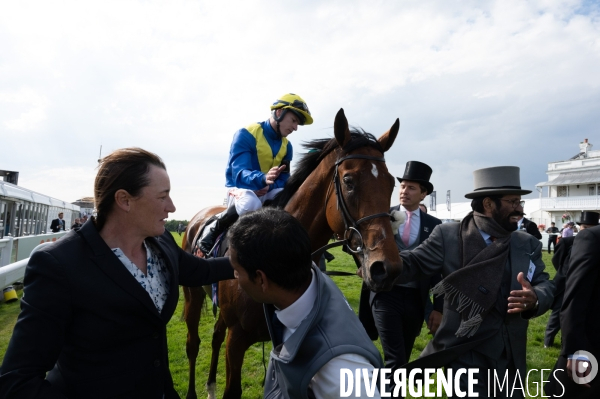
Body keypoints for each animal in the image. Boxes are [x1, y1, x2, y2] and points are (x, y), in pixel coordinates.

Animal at [180, 109, 400, 399]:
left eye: (391, 183)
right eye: (348, 181)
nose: (386, 268)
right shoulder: (237, 338)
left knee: (215, 336)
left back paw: (210, 387)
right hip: (192, 295)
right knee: (193, 343)